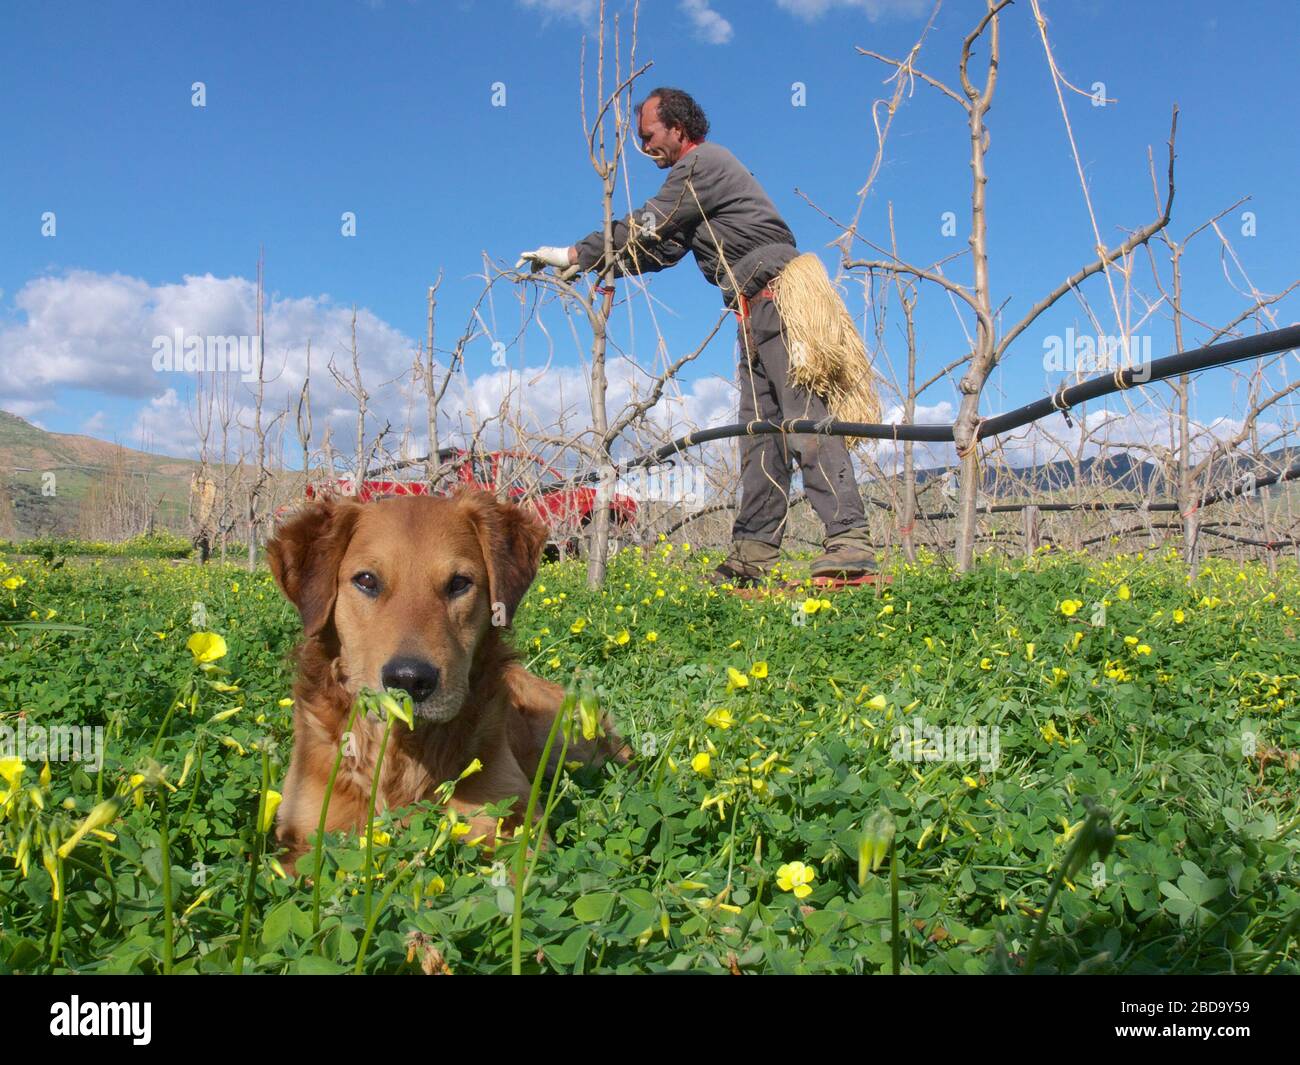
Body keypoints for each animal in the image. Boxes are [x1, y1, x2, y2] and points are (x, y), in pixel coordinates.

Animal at [265, 488, 624, 873]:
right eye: (366, 580)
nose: (410, 680)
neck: (403, 754)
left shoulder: (516, 831)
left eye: (458, 583)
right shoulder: (302, 838)